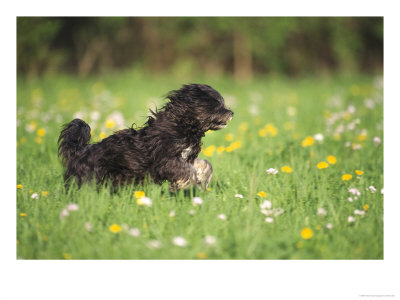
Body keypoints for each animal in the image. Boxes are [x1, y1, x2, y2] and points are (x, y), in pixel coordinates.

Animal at [57, 84, 231, 192]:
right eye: (215, 104)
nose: (231, 113)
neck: (182, 126)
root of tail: (79, 151)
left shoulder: (186, 157)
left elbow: (205, 164)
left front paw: (202, 179)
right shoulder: (165, 161)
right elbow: (186, 171)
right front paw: (181, 185)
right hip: (88, 179)